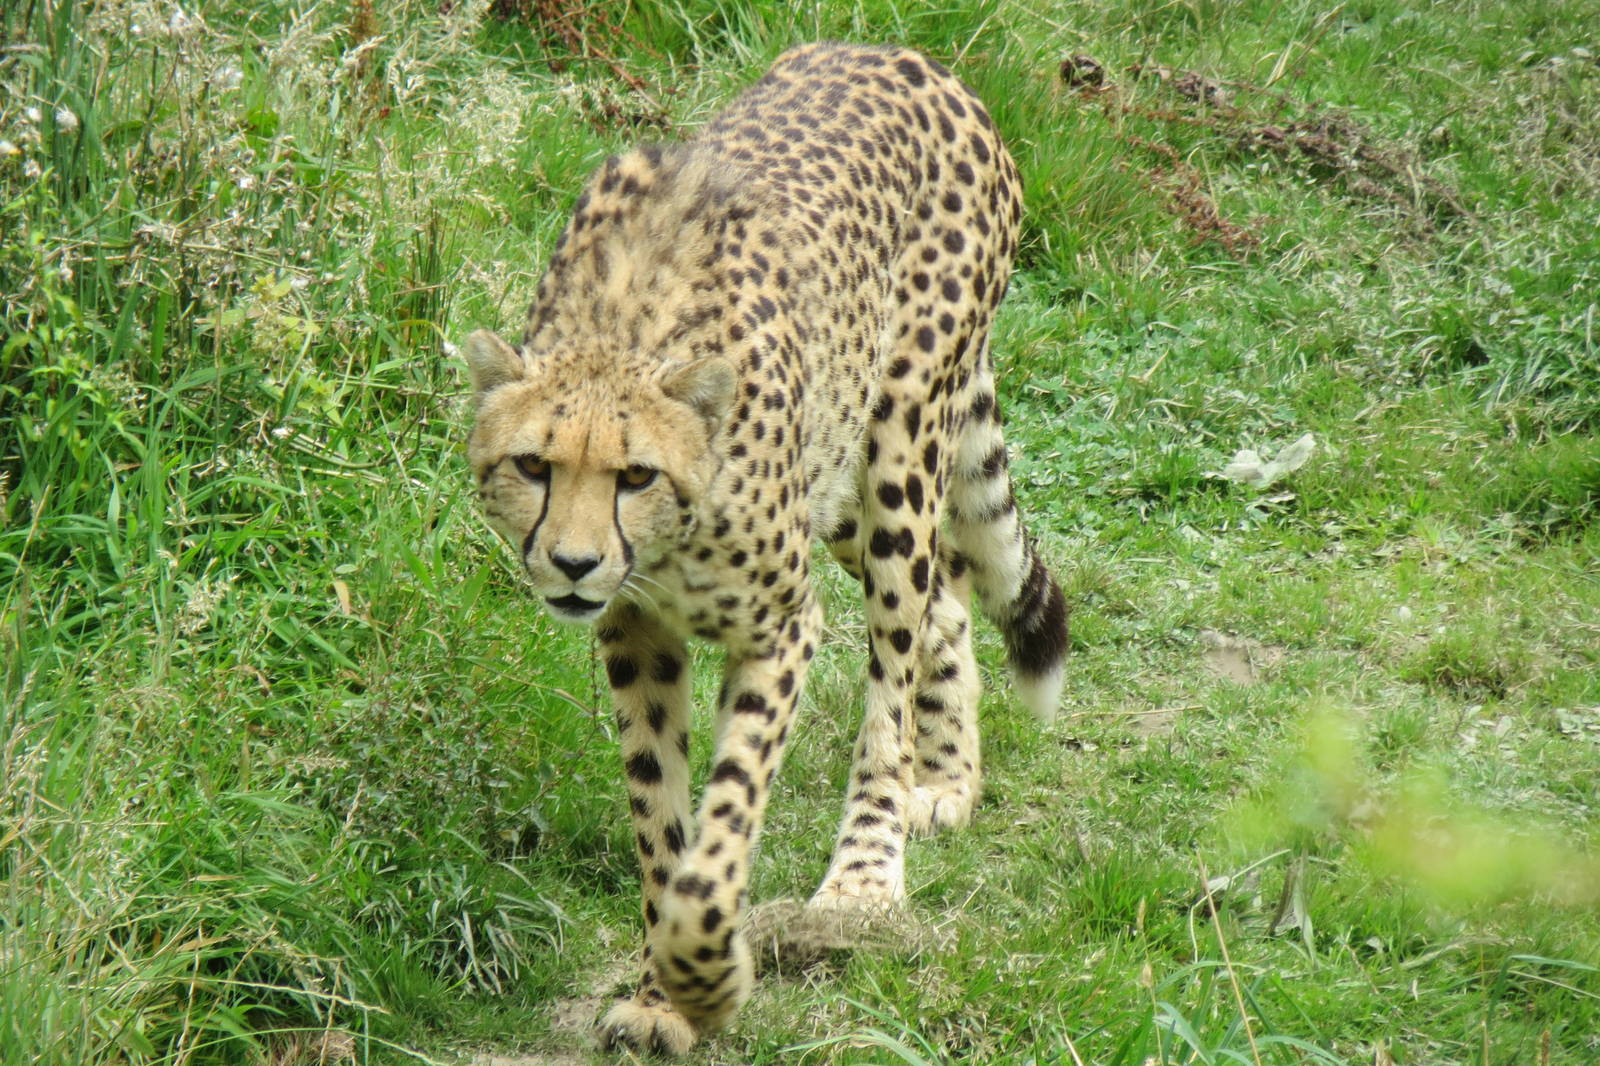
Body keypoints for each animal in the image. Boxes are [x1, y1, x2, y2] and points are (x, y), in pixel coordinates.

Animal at [462, 42, 1068, 1055]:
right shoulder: (635, 634)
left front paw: (707, 979)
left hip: (900, 437)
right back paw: (948, 777)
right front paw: (665, 995)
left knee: (894, 664)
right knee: (944, 596)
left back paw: (865, 879)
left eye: (635, 475)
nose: (575, 565)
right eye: (533, 465)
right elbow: (660, 820)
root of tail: (911, 58)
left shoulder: (783, 625)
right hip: (838, 475)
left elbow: (725, 823)